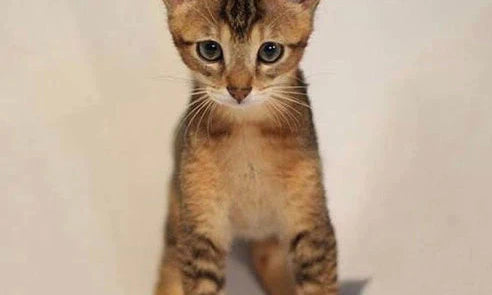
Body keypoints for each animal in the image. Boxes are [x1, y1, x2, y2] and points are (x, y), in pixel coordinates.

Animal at [158, 0, 338, 295]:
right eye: (210, 49)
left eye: (270, 51)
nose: (239, 90)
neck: (247, 130)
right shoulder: (200, 227)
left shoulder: (312, 222)